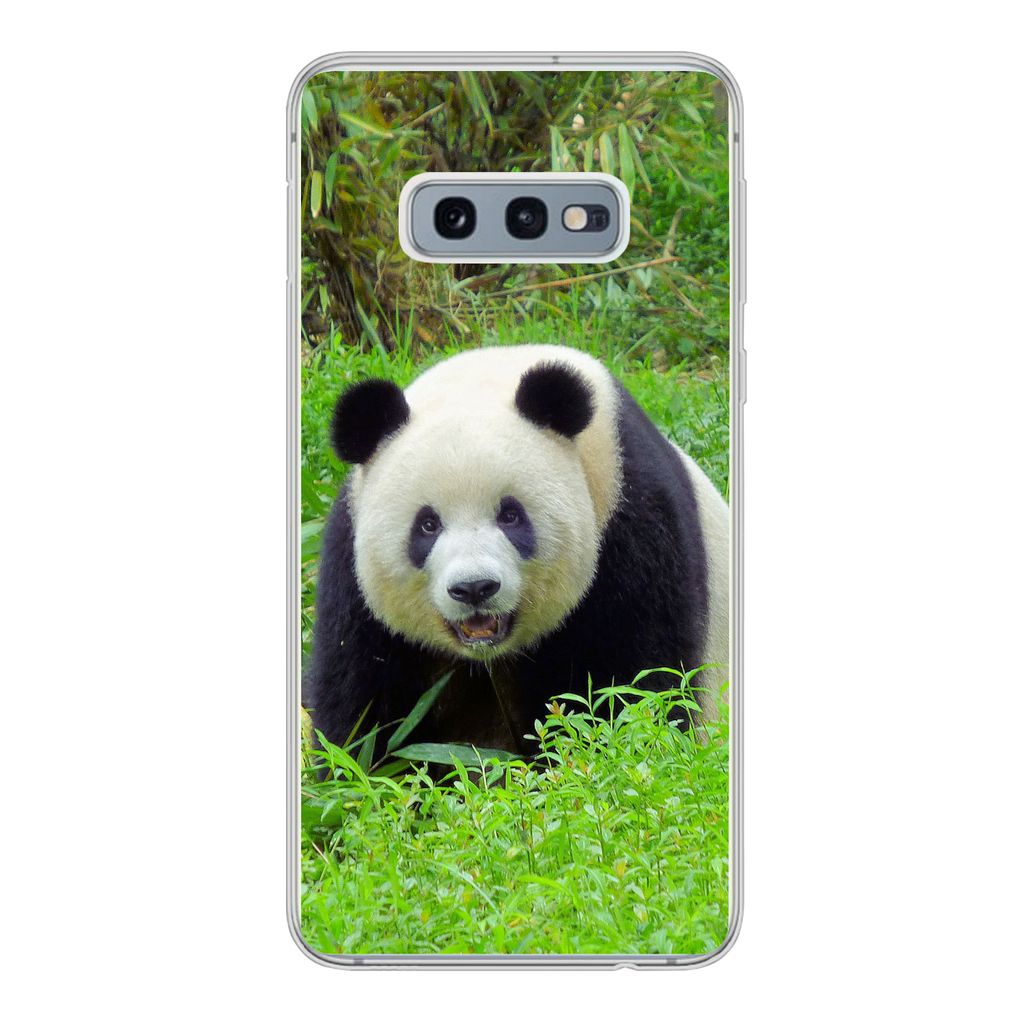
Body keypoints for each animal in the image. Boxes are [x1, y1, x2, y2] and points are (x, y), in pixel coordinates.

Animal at [306, 344, 729, 755]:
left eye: (510, 515)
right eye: (427, 525)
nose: (474, 588)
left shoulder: (632, 520)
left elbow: (638, 681)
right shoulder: (352, 568)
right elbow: (363, 706)